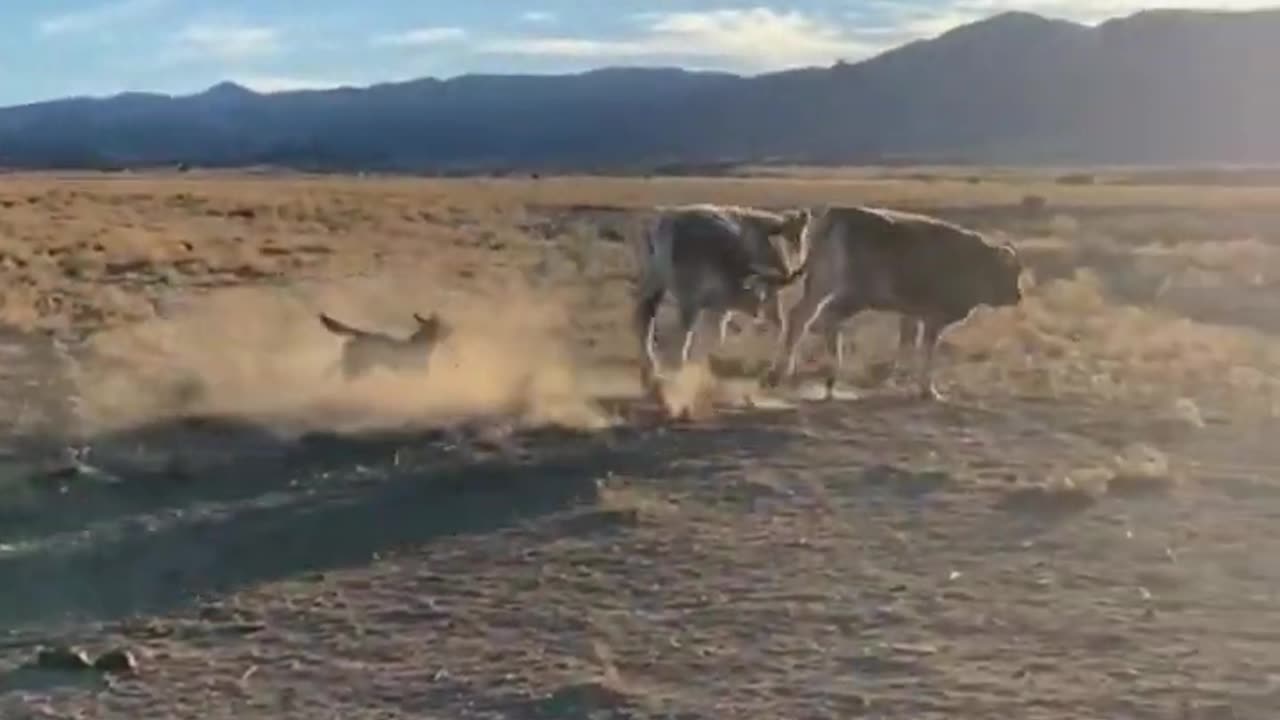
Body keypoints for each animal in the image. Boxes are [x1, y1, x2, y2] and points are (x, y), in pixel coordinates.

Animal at [317, 312, 453, 381]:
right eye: (444, 326)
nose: (452, 330)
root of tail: (360, 334)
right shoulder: (417, 373)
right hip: (356, 367)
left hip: (357, 367)